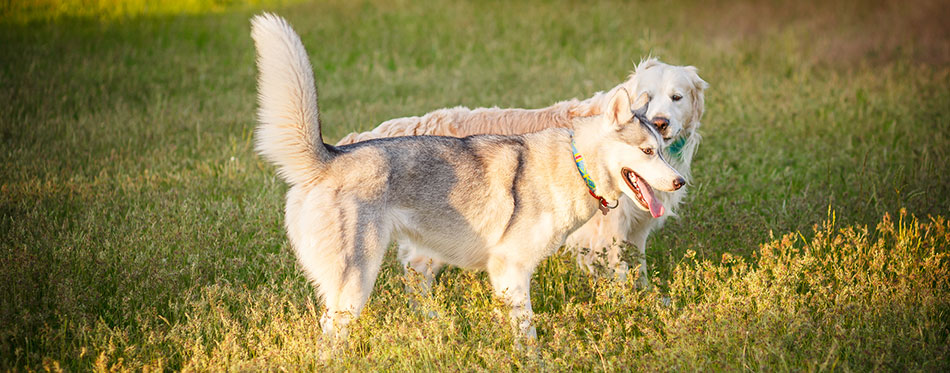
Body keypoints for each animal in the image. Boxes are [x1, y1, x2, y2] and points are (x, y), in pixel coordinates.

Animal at [251, 13, 684, 336]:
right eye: (647, 152)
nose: (680, 181)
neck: (574, 163)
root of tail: (331, 154)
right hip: (355, 284)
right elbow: (528, 333)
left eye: (662, 150)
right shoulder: (511, 270)